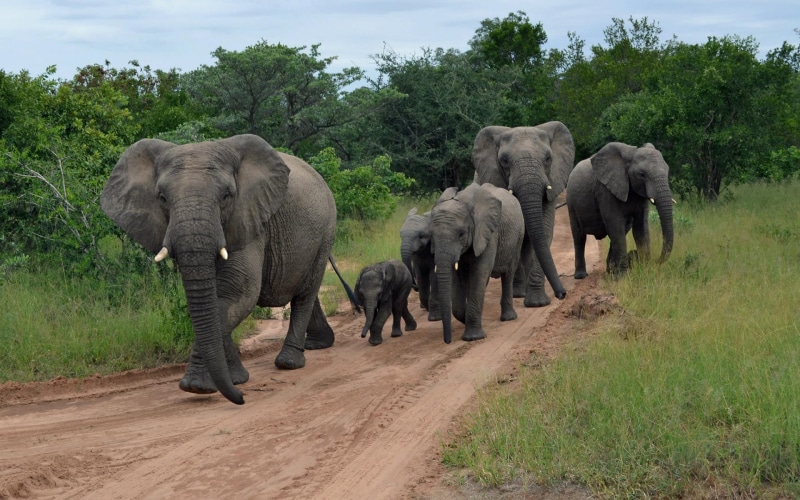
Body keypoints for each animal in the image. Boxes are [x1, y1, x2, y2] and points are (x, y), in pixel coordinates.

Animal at [101, 134, 355, 405]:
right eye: (162, 198)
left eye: (226, 196)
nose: (241, 399)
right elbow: (213, 301)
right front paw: (235, 380)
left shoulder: (249, 218)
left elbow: (237, 293)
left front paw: (197, 387)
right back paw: (318, 343)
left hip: (326, 230)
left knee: (306, 293)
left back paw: (289, 362)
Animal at [430, 183, 524, 344]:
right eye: (432, 235)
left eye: (461, 234)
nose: (447, 341)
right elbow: (457, 278)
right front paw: (465, 319)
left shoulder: (489, 233)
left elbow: (479, 273)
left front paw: (473, 337)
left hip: (518, 236)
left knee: (508, 275)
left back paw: (508, 318)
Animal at [472, 122, 575, 308]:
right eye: (504, 160)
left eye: (548, 159)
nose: (562, 294)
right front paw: (533, 301)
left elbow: (544, 231)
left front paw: (538, 303)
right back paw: (518, 293)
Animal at [566, 142, 675, 278]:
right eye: (642, 175)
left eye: (667, 170)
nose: (656, 261)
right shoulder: (605, 191)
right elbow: (615, 224)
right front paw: (622, 277)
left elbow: (641, 227)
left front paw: (644, 271)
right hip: (571, 202)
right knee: (579, 237)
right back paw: (581, 276)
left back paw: (610, 272)